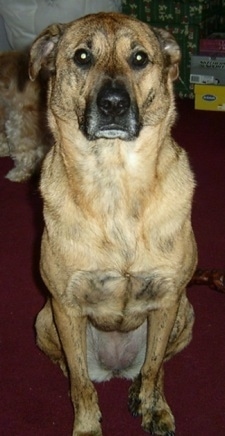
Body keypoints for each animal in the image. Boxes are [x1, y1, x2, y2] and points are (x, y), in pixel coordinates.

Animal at [29, 11, 198, 434]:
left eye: (139, 59)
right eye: (82, 56)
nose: (113, 105)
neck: (115, 182)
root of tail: (116, 367)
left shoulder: (167, 300)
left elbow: (153, 369)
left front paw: (153, 407)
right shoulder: (66, 306)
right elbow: (80, 383)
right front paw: (87, 426)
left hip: (185, 313)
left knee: (157, 367)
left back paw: (145, 396)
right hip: (44, 320)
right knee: (73, 370)